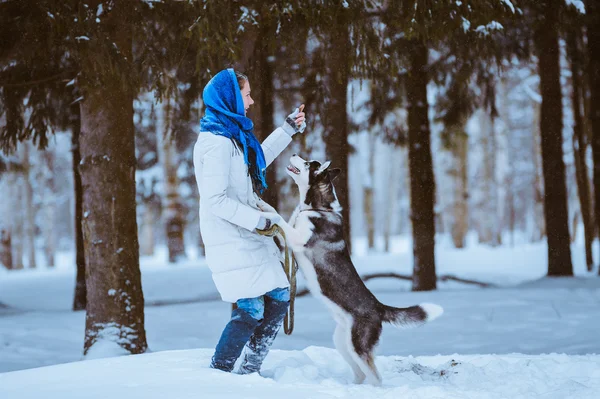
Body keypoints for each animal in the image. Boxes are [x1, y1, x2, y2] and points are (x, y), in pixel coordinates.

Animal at [255, 155, 442, 386]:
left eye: (308, 163)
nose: (294, 155)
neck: (318, 208)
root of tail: (379, 307)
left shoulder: (297, 240)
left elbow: (279, 217)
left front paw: (265, 209)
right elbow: (277, 215)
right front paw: (262, 204)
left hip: (358, 345)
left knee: (375, 378)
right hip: (342, 341)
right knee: (360, 373)